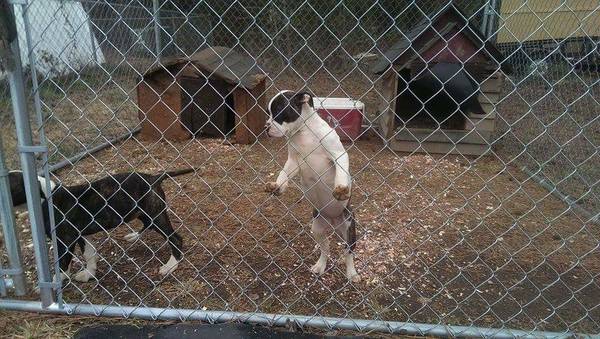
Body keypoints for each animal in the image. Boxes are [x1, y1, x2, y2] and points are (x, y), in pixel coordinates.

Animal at [8, 169, 195, 282]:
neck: (45, 196)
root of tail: (153, 177)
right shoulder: (82, 235)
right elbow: (89, 254)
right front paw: (89, 274)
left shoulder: (65, 240)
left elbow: (62, 264)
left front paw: (56, 283)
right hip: (143, 213)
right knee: (147, 226)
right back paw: (134, 236)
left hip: (155, 215)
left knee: (175, 238)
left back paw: (171, 266)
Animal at [264, 91, 358, 284]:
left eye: (279, 111)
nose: (266, 127)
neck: (304, 132)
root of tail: (333, 222)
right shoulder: (293, 161)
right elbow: (283, 174)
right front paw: (277, 186)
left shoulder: (338, 154)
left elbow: (341, 172)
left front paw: (341, 189)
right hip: (317, 229)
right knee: (325, 248)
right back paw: (319, 266)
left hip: (349, 231)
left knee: (348, 253)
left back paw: (351, 273)